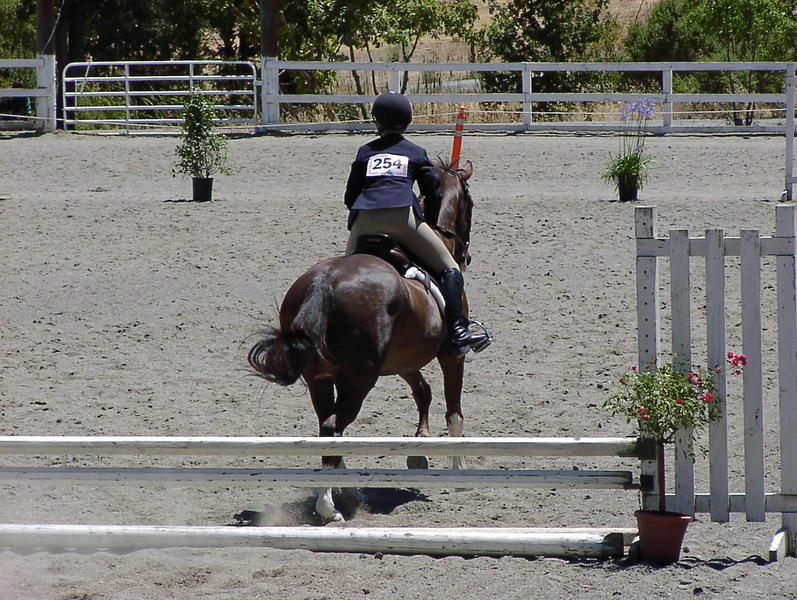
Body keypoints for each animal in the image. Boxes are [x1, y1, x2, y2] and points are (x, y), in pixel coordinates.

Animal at [248, 159, 477, 522]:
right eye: (471, 203)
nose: (465, 257)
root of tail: (325, 281)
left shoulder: (404, 359)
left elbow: (423, 392)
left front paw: (419, 449)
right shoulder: (452, 355)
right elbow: (454, 412)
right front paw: (460, 473)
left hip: (320, 376)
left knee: (327, 426)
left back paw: (347, 492)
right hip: (359, 378)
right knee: (334, 427)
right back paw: (330, 506)